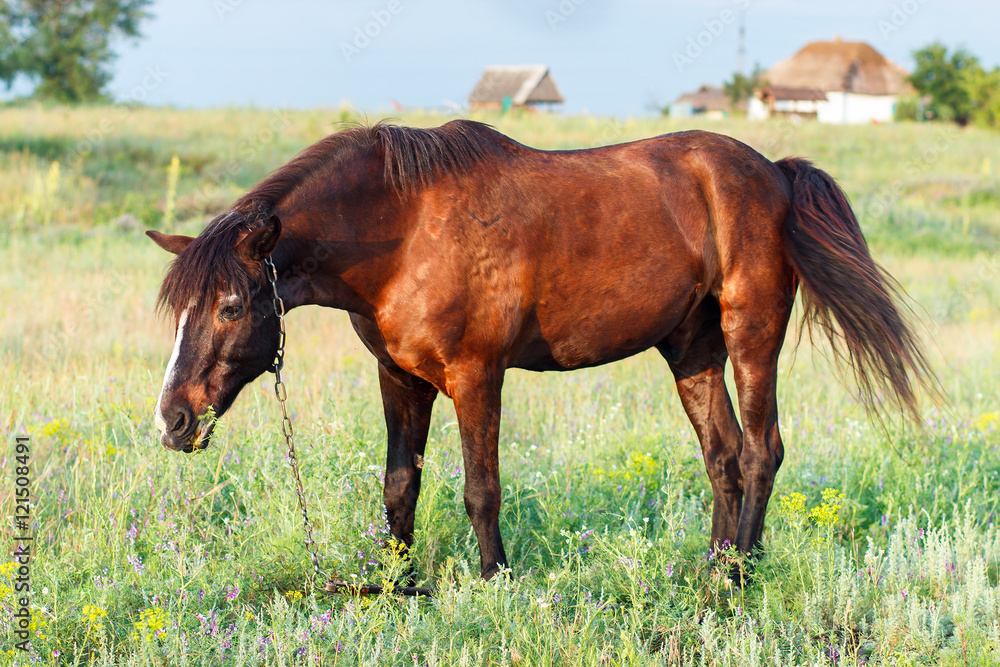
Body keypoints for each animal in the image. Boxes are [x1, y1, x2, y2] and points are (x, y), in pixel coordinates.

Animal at [147, 119, 934, 580]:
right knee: (724, 454)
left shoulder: (476, 375)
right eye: (179, 311)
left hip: (751, 336)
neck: (403, 226)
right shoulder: (400, 377)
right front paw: (400, 587)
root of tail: (773, 170)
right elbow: (400, 486)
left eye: (229, 306)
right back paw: (713, 570)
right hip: (691, 348)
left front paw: (495, 581)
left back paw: (738, 577)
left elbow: (480, 489)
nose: (172, 421)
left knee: (762, 450)